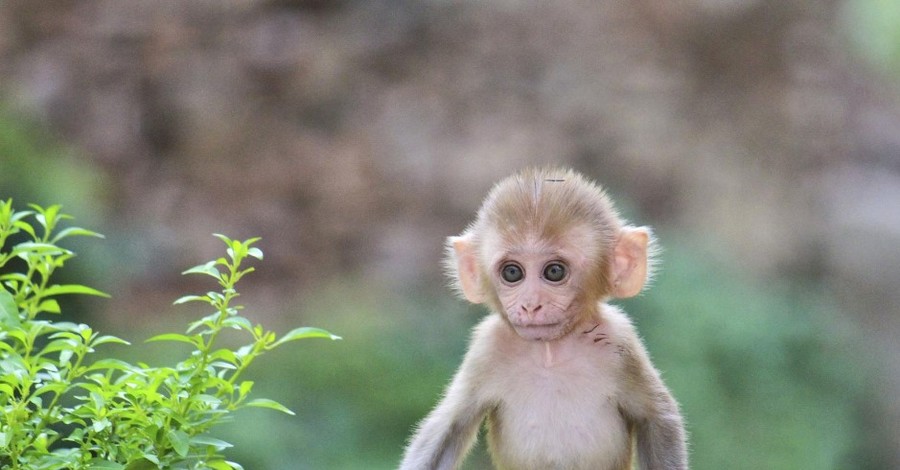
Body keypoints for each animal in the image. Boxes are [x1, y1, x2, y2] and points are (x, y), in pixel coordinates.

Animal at [400, 167, 688, 468]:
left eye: (554, 271)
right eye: (512, 272)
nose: (530, 305)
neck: (549, 352)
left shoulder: (621, 341)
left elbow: (657, 417)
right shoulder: (486, 348)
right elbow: (448, 425)